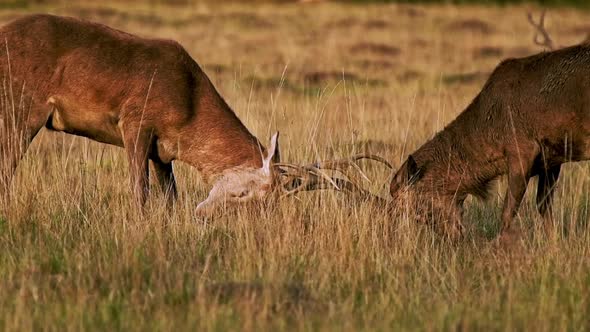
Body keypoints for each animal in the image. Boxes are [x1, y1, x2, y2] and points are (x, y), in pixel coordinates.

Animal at [0, 14, 394, 214]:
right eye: (243, 194)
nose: (204, 212)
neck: (188, 100)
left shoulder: (162, 153)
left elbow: (170, 196)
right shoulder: (135, 124)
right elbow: (140, 191)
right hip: (23, 110)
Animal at [390, 10, 588, 239]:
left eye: (419, 208)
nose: (450, 236)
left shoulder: (522, 149)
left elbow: (509, 210)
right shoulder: (552, 159)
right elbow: (543, 206)